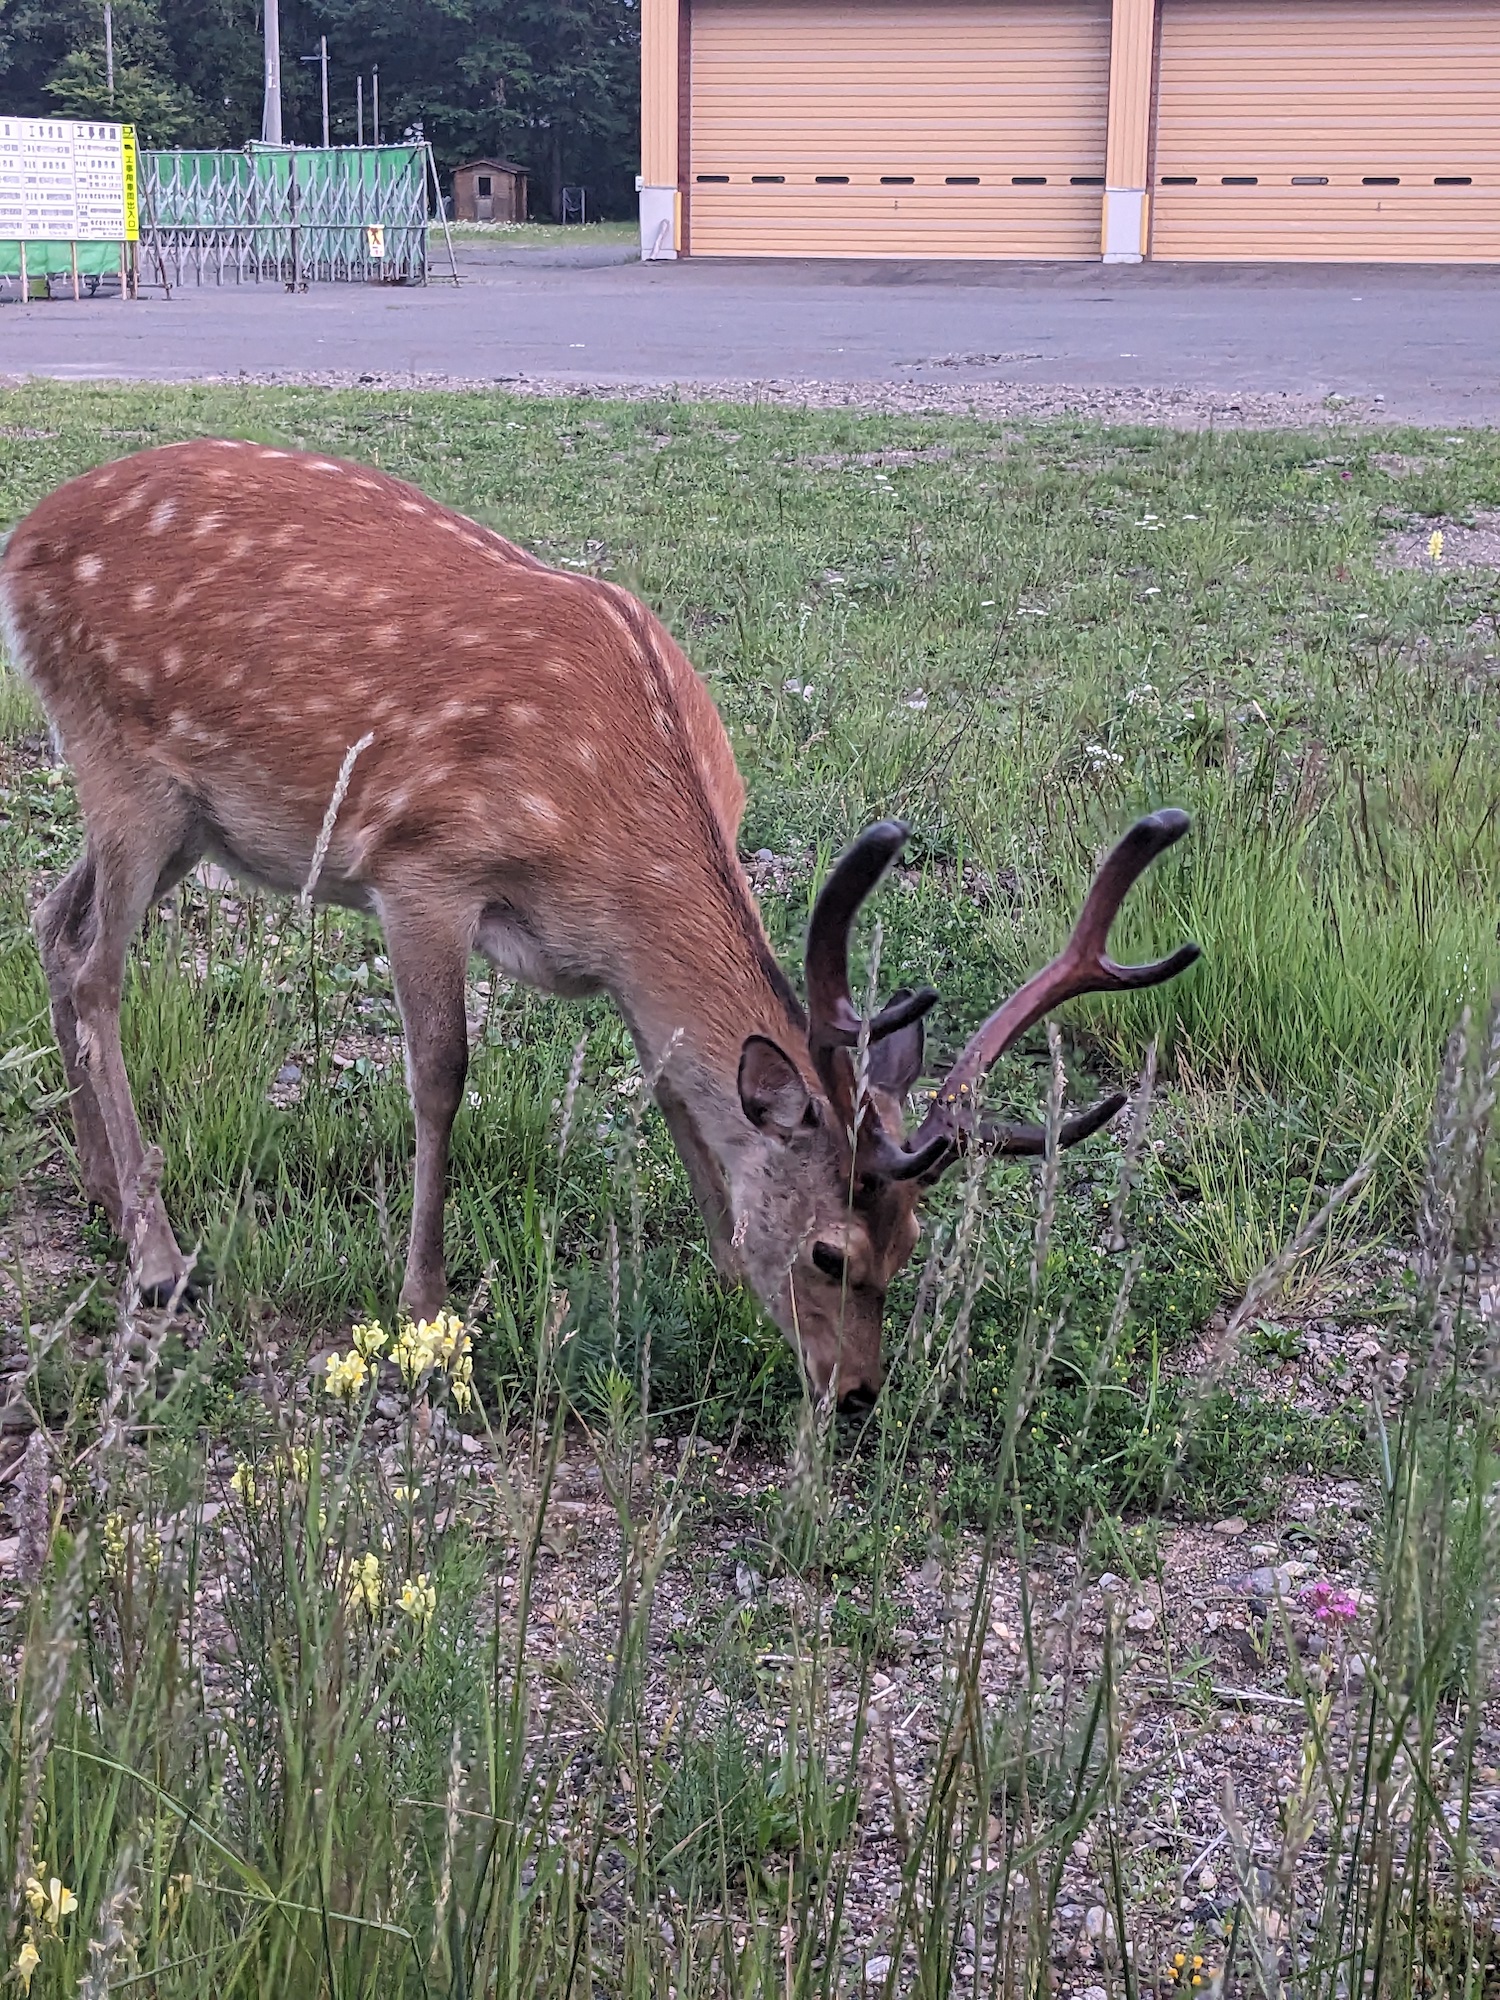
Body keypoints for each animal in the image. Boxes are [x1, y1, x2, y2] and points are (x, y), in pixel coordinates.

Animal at [0, 442, 1200, 1408]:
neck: (606, 850)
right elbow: (441, 1076)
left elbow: (673, 1086)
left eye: (908, 1250)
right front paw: (424, 1308)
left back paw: (105, 1189)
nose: (856, 1391)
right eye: (829, 1253)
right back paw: (158, 1254)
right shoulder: (420, 869)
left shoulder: (616, 968)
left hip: (182, 819)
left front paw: (719, 1260)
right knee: (98, 969)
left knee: (53, 924)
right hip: (123, 765)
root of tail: (25, 538)